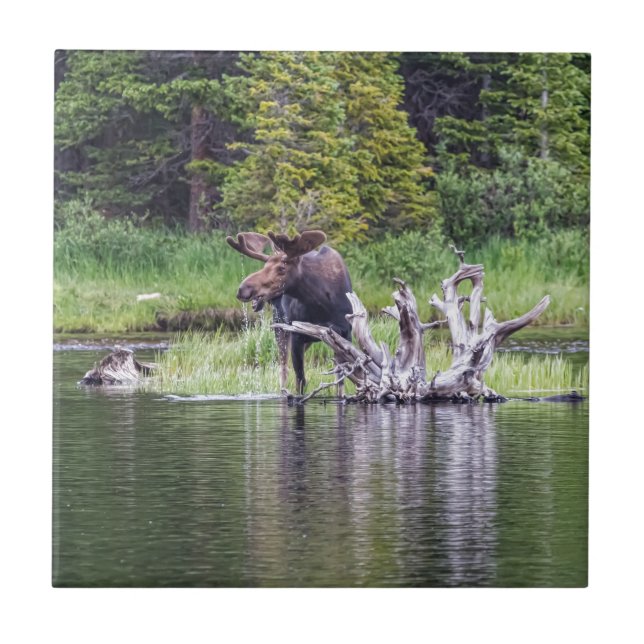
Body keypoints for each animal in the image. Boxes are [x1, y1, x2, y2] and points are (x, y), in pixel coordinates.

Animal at [226, 230, 353, 396]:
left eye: (282, 268)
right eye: (265, 265)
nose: (243, 289)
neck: (323, 304)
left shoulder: (345, 333)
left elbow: (340, 383)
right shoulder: (297, 334)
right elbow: (300, 381)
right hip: (280, 327)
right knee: (283, 371)